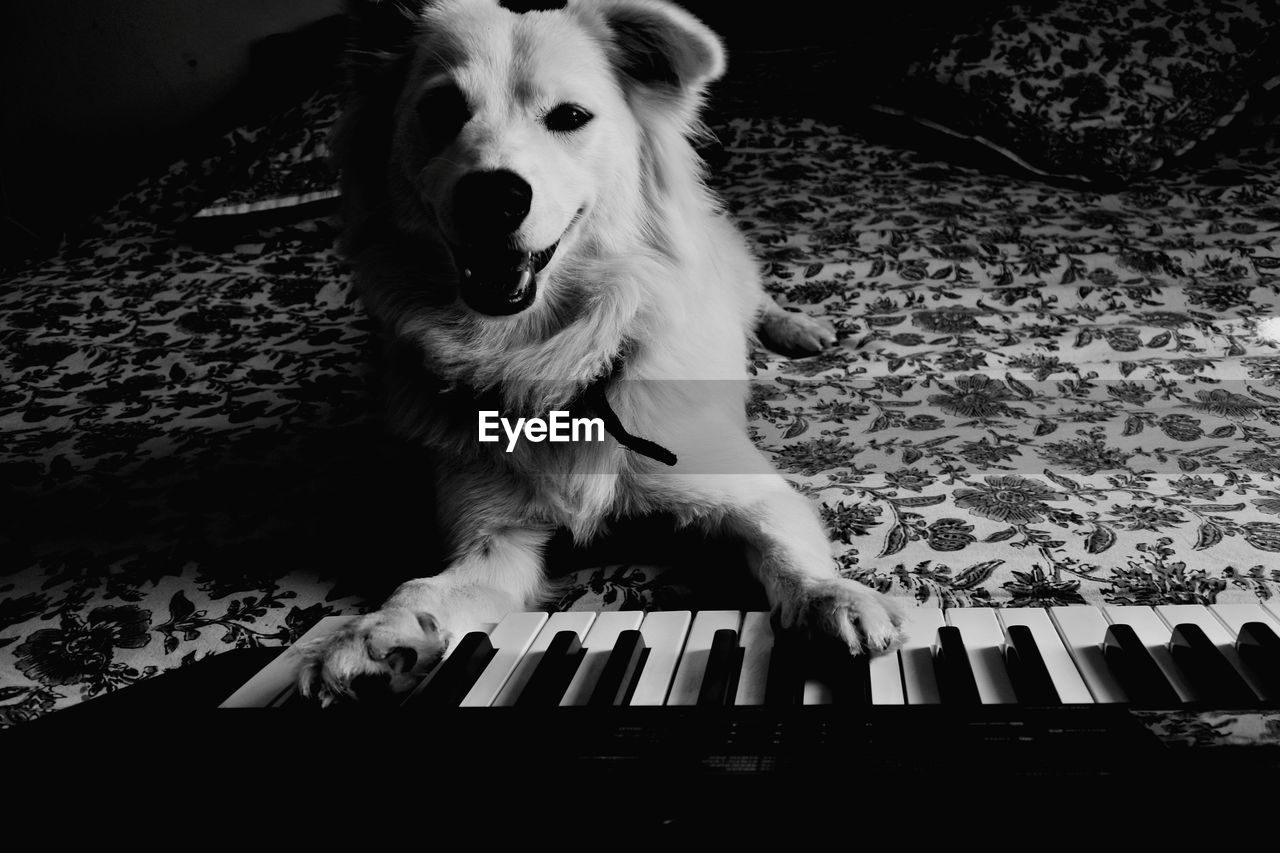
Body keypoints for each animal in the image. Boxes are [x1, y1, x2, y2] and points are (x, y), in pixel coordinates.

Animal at [299, 0, 906, 701]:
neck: (549, 356)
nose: (493, 195)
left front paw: (833, 598)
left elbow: (788, 551)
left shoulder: (749, 493)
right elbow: (422, 588)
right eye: (442, 109)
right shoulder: (494, 545)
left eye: (569, 117)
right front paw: (375, 636)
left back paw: (797, 328)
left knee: (758, 300)